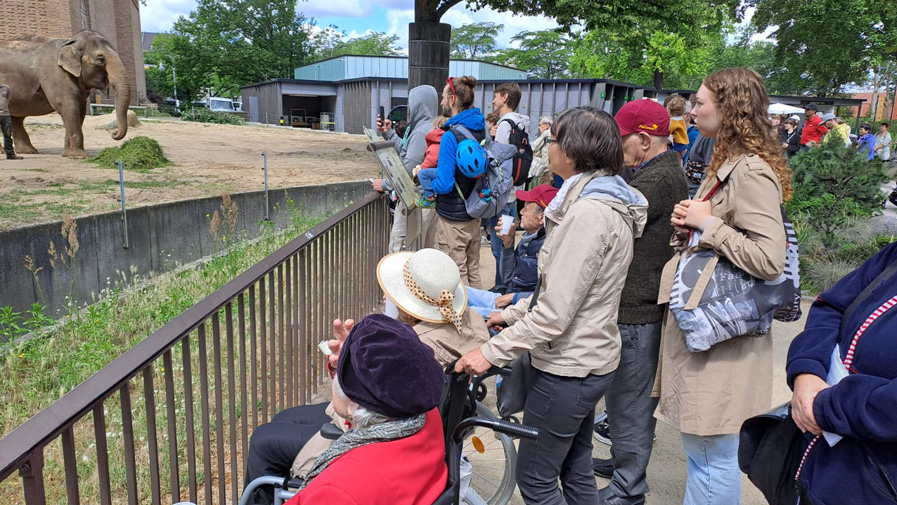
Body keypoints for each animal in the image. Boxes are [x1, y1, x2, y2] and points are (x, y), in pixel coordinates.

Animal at [0, 29, 130, 158]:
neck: (70, 42)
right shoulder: (56, 74)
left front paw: (68, 155)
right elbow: (67, 106)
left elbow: (79, 110)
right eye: (101, 59)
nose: (114, 133)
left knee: (17, 117)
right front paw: (80, 156)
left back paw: (29, 151)